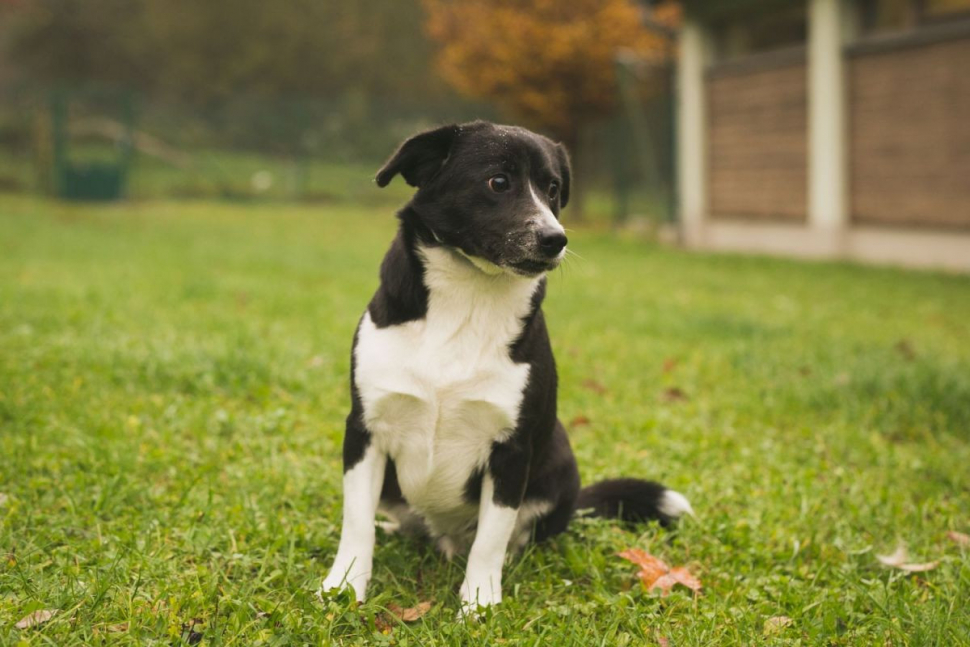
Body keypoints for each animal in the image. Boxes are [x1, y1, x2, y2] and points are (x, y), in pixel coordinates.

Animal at [322, 120, 692, 612]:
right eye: (498, 181)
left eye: (552, 189)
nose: (556, 239)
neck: (468, 297)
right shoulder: (364, 430)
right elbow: (357, 521)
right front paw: (345, 585)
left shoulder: (512, 450)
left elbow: (490, 539)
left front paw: (478, 601)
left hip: (559, 458)